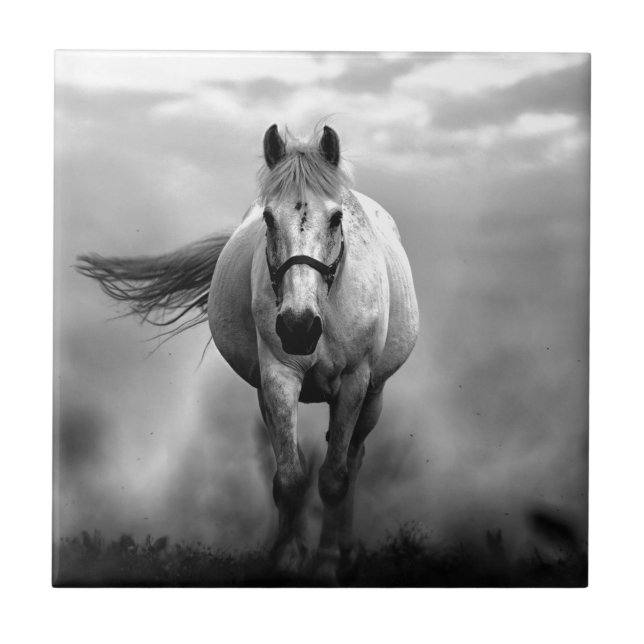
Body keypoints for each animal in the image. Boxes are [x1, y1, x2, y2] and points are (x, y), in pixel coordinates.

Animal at [76, 124, 419, 583]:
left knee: (353, 458)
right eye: (269, 219)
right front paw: (288, 559)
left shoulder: (354, 382)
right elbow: (290, 477)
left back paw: (346, 554)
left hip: (373, 395)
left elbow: (334, 478)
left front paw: (328, 565)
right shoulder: (277, 377)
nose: (298, 326)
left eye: (336, 217)